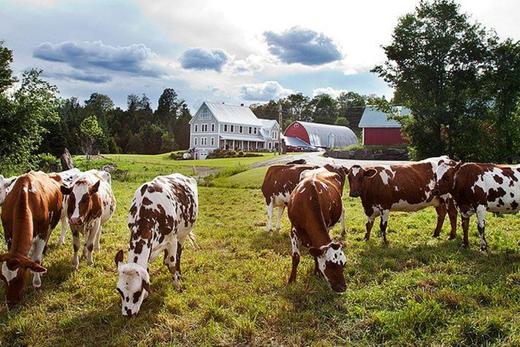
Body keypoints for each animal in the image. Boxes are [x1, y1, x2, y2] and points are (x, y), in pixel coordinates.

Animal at [0, 171, 62, 308]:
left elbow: (36, 259)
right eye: (3, 278)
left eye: (20, 277)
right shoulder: (8, 235)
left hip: (51, 226)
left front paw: (37, 283)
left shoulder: (42, 234)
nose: (11, 303)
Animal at [115, 174, 198, 318]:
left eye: (137, 293)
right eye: (119, 290)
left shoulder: (172, 239)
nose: (127, 314)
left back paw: (179, 273)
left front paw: (177, 285)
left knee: (178, 255)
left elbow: (172, 263)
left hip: (183, 234)